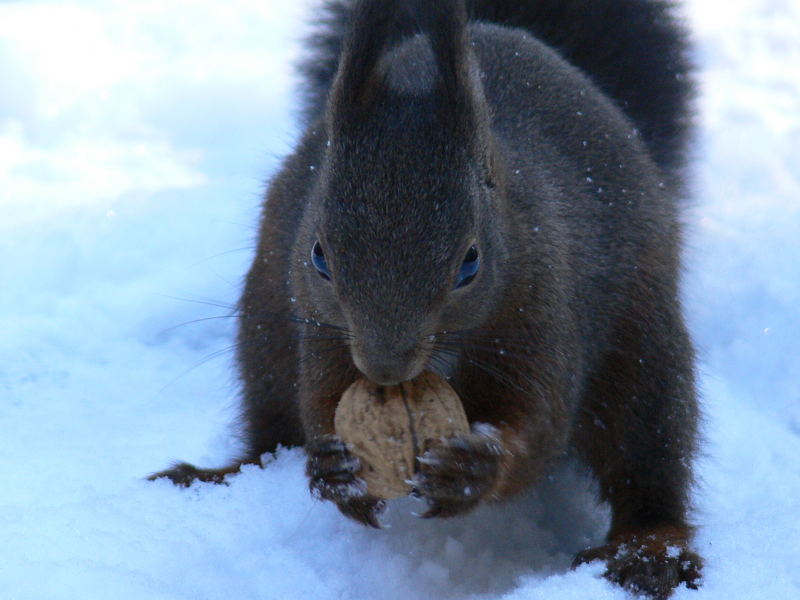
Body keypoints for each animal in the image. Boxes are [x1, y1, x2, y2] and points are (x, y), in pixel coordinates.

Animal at [148, 2, 700, 596]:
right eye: (319, 256)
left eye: (470, 262)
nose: (385, 368)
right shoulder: (321, 327)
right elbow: (318, 400)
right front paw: (336, 471)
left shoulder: (543, 311)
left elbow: (538, 426)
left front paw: (473, 468)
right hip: (266, 328)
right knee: (270, 430)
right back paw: (215, 476)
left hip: (644, 346)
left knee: (647, 457)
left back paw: (648, 552)